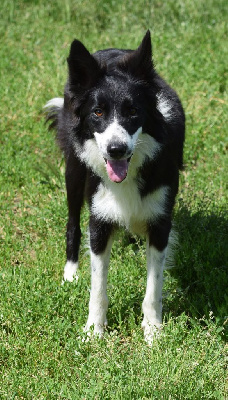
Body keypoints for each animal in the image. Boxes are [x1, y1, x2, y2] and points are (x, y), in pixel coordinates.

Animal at [45, 31, 185, 344]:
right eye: (97, 112)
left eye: (133, 111)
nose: (116, 149)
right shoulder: (99, 219)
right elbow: (98, 287)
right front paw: (93, 332)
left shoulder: (160, 220)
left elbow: (154, 286)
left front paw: (153, 331)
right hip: (74, 171)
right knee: (72, 222)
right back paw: (70, 274)